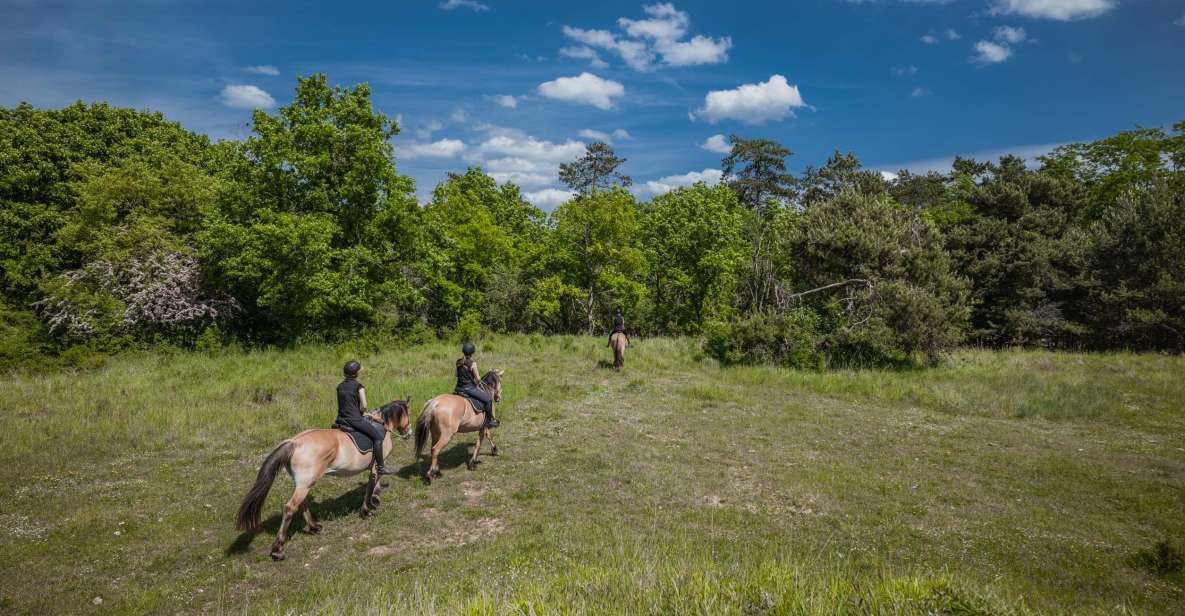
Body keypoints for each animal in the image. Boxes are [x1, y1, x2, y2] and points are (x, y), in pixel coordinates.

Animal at [233, 398, 414, 561]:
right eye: (408, 413)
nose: (409, 433)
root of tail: (295, 443)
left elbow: (373, 484)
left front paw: (374, 501)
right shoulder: (377, 466)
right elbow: (372, 484)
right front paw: (368, 508)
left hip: (304, 483)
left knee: (302, 504)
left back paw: (314, 527)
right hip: (306, 483)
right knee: (290, 507)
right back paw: (278, 550)